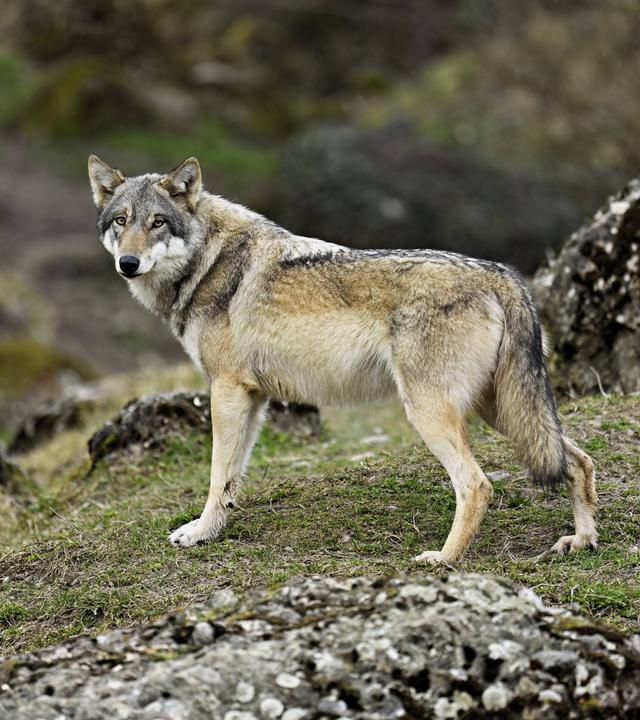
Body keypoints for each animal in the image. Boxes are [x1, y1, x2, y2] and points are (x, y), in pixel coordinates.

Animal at [88, 155, 597, 563]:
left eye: (157, 222)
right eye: (121, 221)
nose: (128, 264)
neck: (207, 263)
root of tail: (501, 274)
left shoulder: (226, 390)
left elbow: (215, 474)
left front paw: (198, 534)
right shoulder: (253, 398)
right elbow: (231, 478)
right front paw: (214, 529)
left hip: (433, 412)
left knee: (477, 484)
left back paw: (444, 560)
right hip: (503, 411)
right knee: (577, 460)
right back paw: (582, 541)